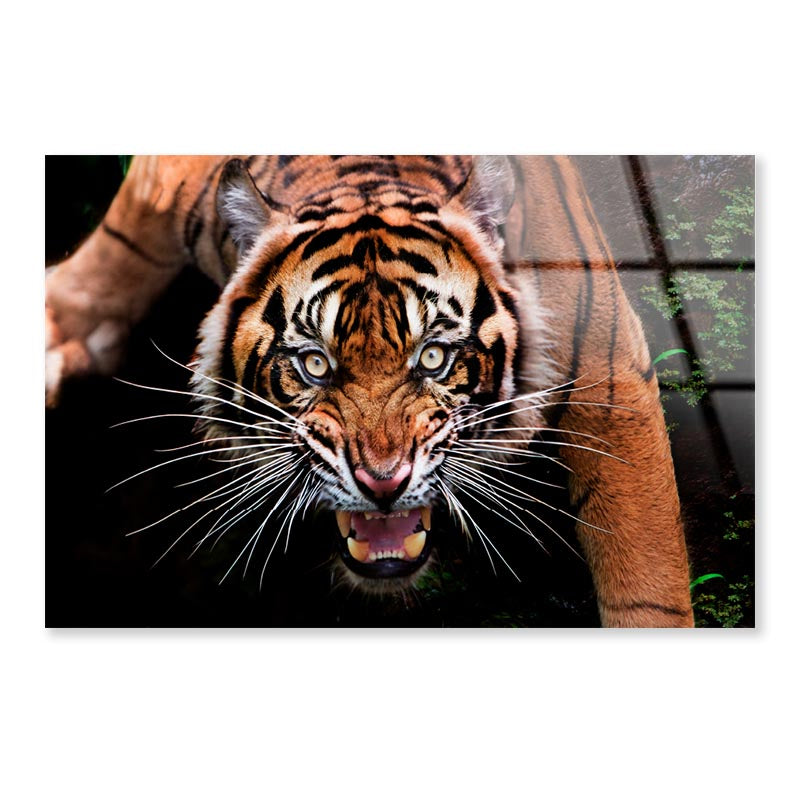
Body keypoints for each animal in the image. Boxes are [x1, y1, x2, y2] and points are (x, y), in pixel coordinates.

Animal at [45, 155, 694, 627]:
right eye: (314, 364)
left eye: (433, 357)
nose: (383, 484)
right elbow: (119, 247)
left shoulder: (608, 375)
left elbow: (647, 574)